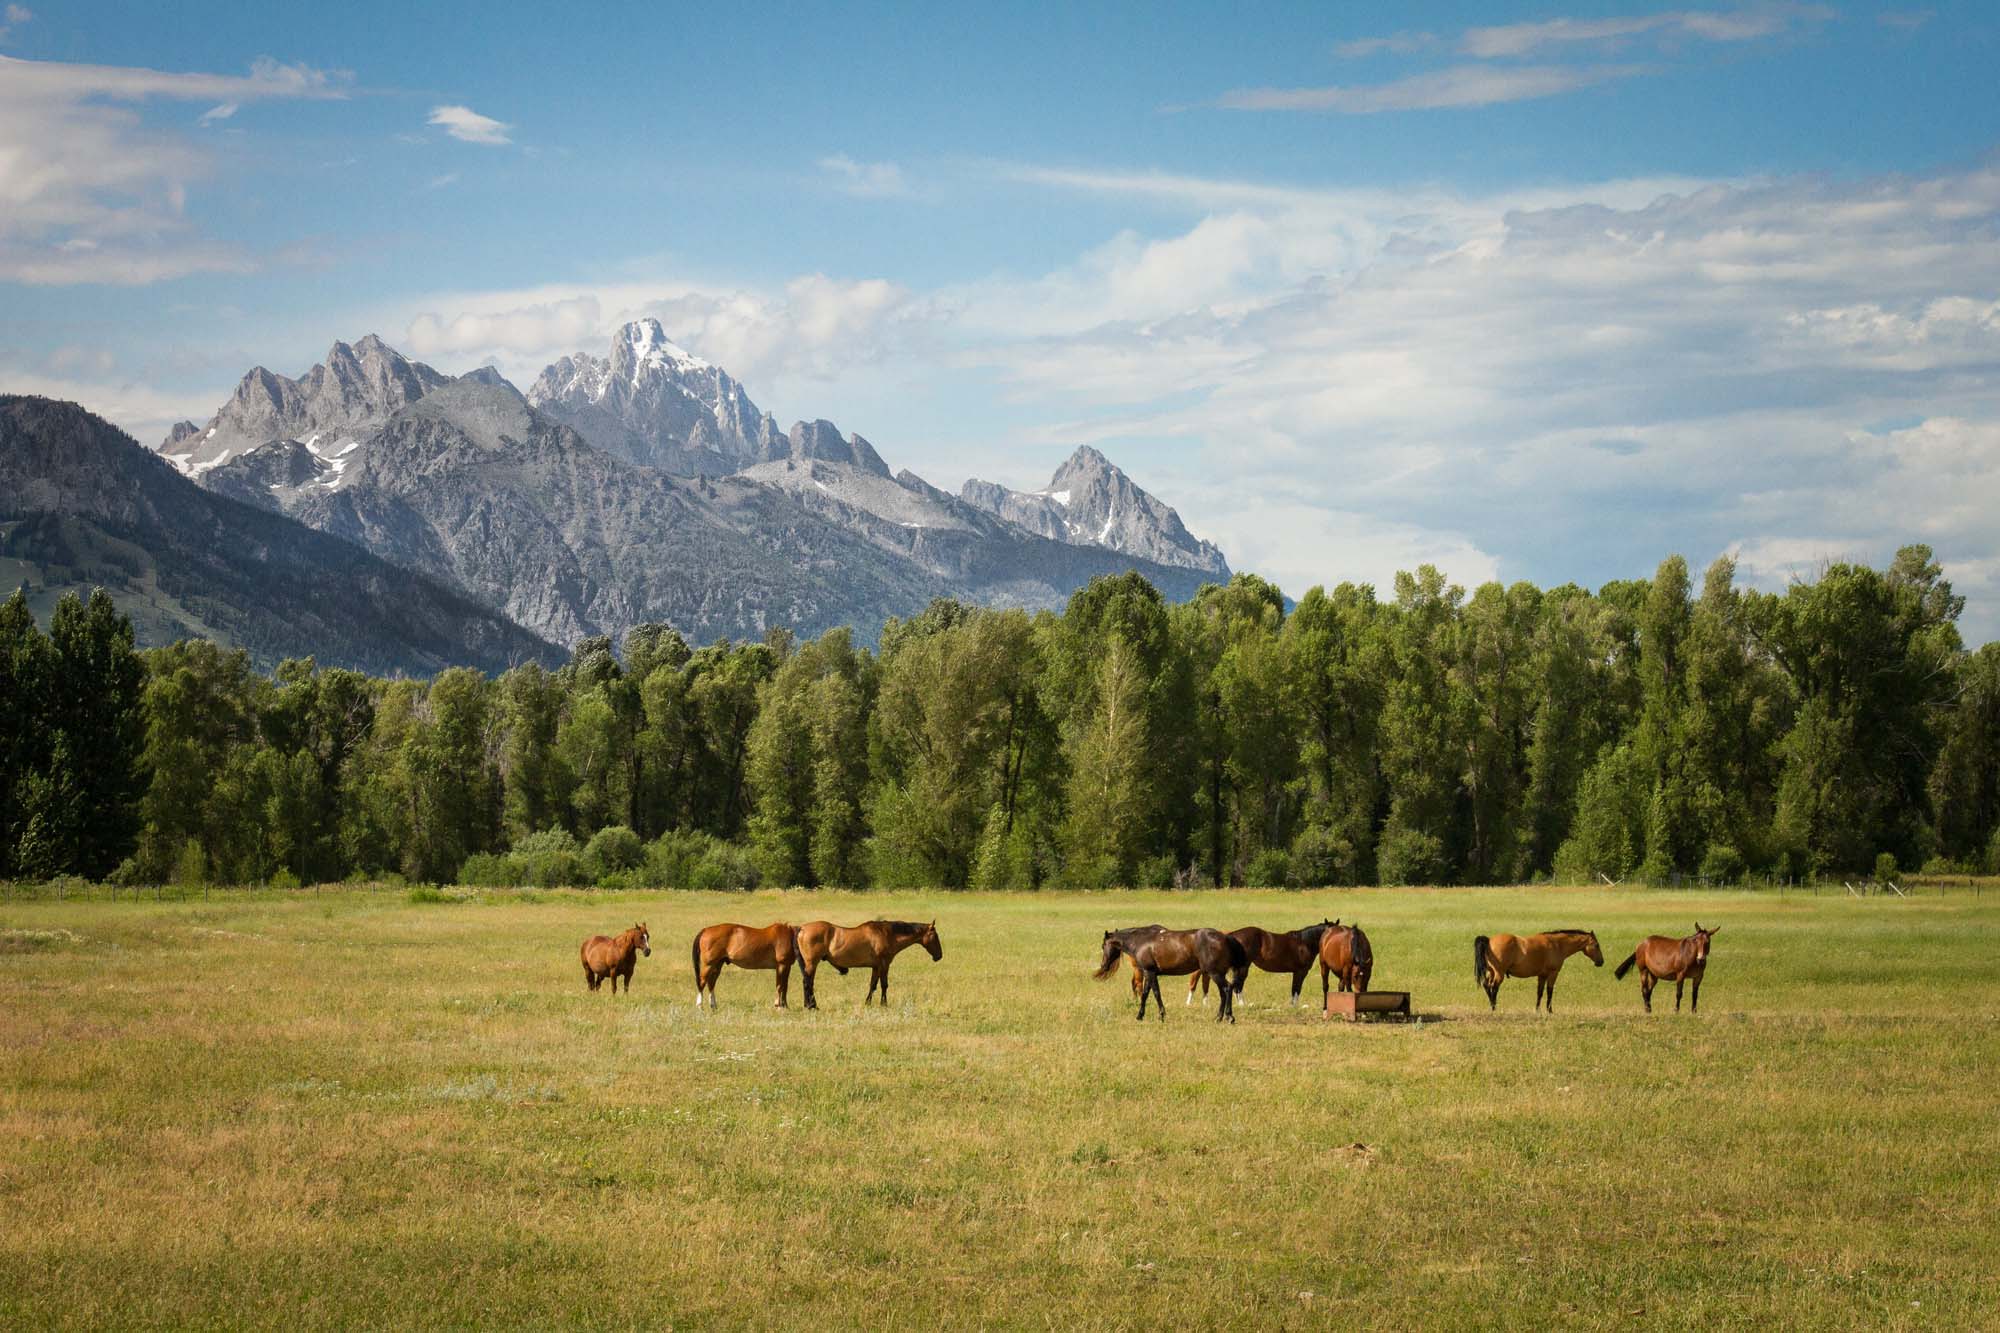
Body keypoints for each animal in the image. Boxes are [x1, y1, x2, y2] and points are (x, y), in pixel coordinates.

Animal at [795, 919, 942, 1009]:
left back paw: (810, 1005)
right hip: (812, 964)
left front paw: (868, 1003)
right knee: (807, 983)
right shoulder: (884, 964)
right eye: (935, 937)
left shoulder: (876, 967)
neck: (888, 934)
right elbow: (884, 985)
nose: (939, 956)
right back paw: (811, 1006)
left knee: (808, 983)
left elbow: (873, 985)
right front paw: (884, 1004)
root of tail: (802, 929)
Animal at [1094, 927, 1245, 1023]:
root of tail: (1225, 937)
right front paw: (1140, 1016)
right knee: (1224, 992)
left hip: (1215, 974)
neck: (1140, 941)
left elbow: (1156, 993)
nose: (1103, 965)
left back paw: (1227, 1017)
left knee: (1227, 989)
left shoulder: (1150, 972)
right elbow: (1145, 994)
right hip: (1218, 974)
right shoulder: (1149, 973)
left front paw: (1161, 1016)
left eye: (1103, 946)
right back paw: (1221, 1017)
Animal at [1186, 921, 1339, 1007]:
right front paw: (1295, 1006)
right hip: (1243, 967)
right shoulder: (1300, 972)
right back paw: (1242, 1004)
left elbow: (1294, 989)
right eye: (1331, 931)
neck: (1304, 943)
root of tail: (1231, 936)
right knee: (1238, 986)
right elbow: (1296, 989)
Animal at [1473, 929, 1604, 1012]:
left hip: (1491, 972)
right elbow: (1550, 992)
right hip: (1499, 974)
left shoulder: (1542, 975)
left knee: (1486, 985)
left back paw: (1492, 1006)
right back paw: (1494, 1008)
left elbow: (1539, 992)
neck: (1557, 944)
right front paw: (1549, 1010)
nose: (1601, 962)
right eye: (1597, 945)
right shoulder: (1553, 974)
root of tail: (1489, 940)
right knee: (1494, 988)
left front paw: (1537, 1010)